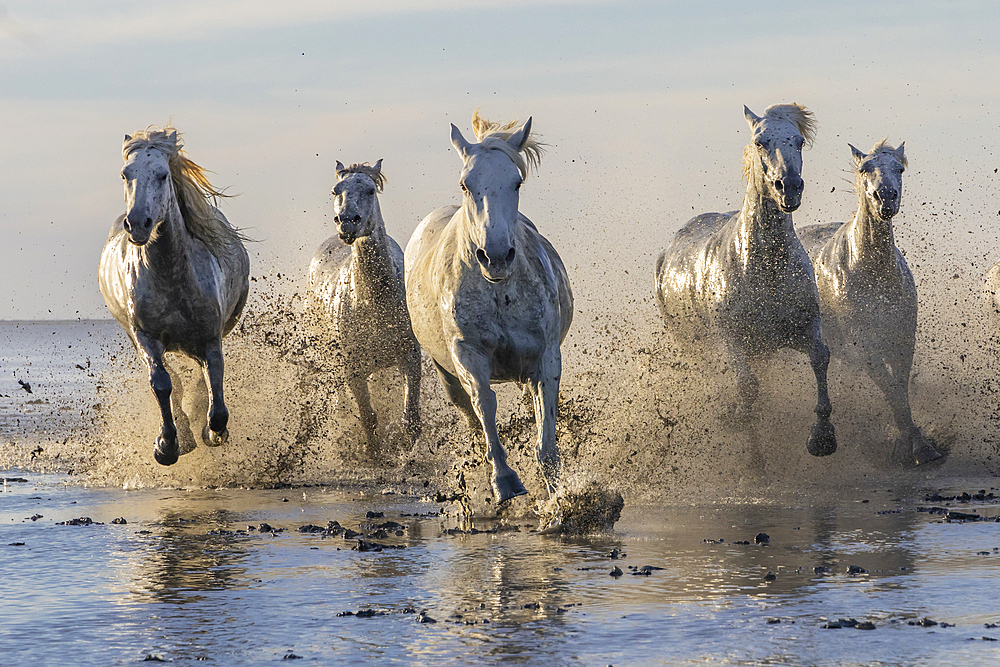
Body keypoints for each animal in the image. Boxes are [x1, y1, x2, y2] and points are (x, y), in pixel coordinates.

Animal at [98, 128, 250, 468]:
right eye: (125, 174)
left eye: (162, 174)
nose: (137, 223)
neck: (171, 277)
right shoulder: (145, 336)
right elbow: (163, 383)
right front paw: (167, 445)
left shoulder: (210, 338)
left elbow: (214, 386)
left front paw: (213, 433)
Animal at [406, 112, 576, 504]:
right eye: (466, 184)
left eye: (516, 182)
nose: (496, 256)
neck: (499, 293)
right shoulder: (468, 354)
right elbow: (484, 404)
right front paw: (505, 480)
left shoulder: (546, 358)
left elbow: (546, 440)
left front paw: (560, 497)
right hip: (444, 369)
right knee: (469, 414)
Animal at [656, 104, 836, 460]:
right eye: (760, 142)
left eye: (799, 141)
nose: (788, 187)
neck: (766, 270)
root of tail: (667, 252)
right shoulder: (735, 341)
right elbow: (747, 389)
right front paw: (754, 458)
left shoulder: (802, 328)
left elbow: (820, 357)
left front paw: (822, 437)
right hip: (699, 348)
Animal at [800, 140, 940, 464]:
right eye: (865, 168)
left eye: (899, 168)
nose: (885, 198)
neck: (872, 273)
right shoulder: (864, 348)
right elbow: (890, 389)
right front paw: (916, 445)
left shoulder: (901, 339)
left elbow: (899, 388)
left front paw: (918, 445)